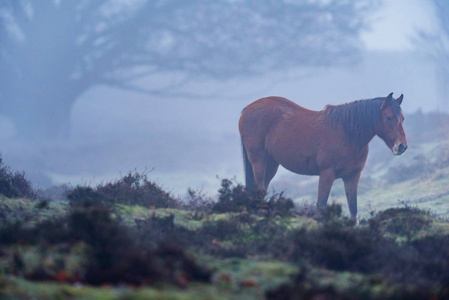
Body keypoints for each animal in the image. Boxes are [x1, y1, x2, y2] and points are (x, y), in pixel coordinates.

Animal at [240, 92, 408, 219]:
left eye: (402, 119)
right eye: (388, 117)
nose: (402, 146)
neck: (348, 134)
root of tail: (246, 109)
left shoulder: (352, 177)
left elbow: (353, 209)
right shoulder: (327, 174)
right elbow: (321, 206)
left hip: (271, 164)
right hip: (258, 160)